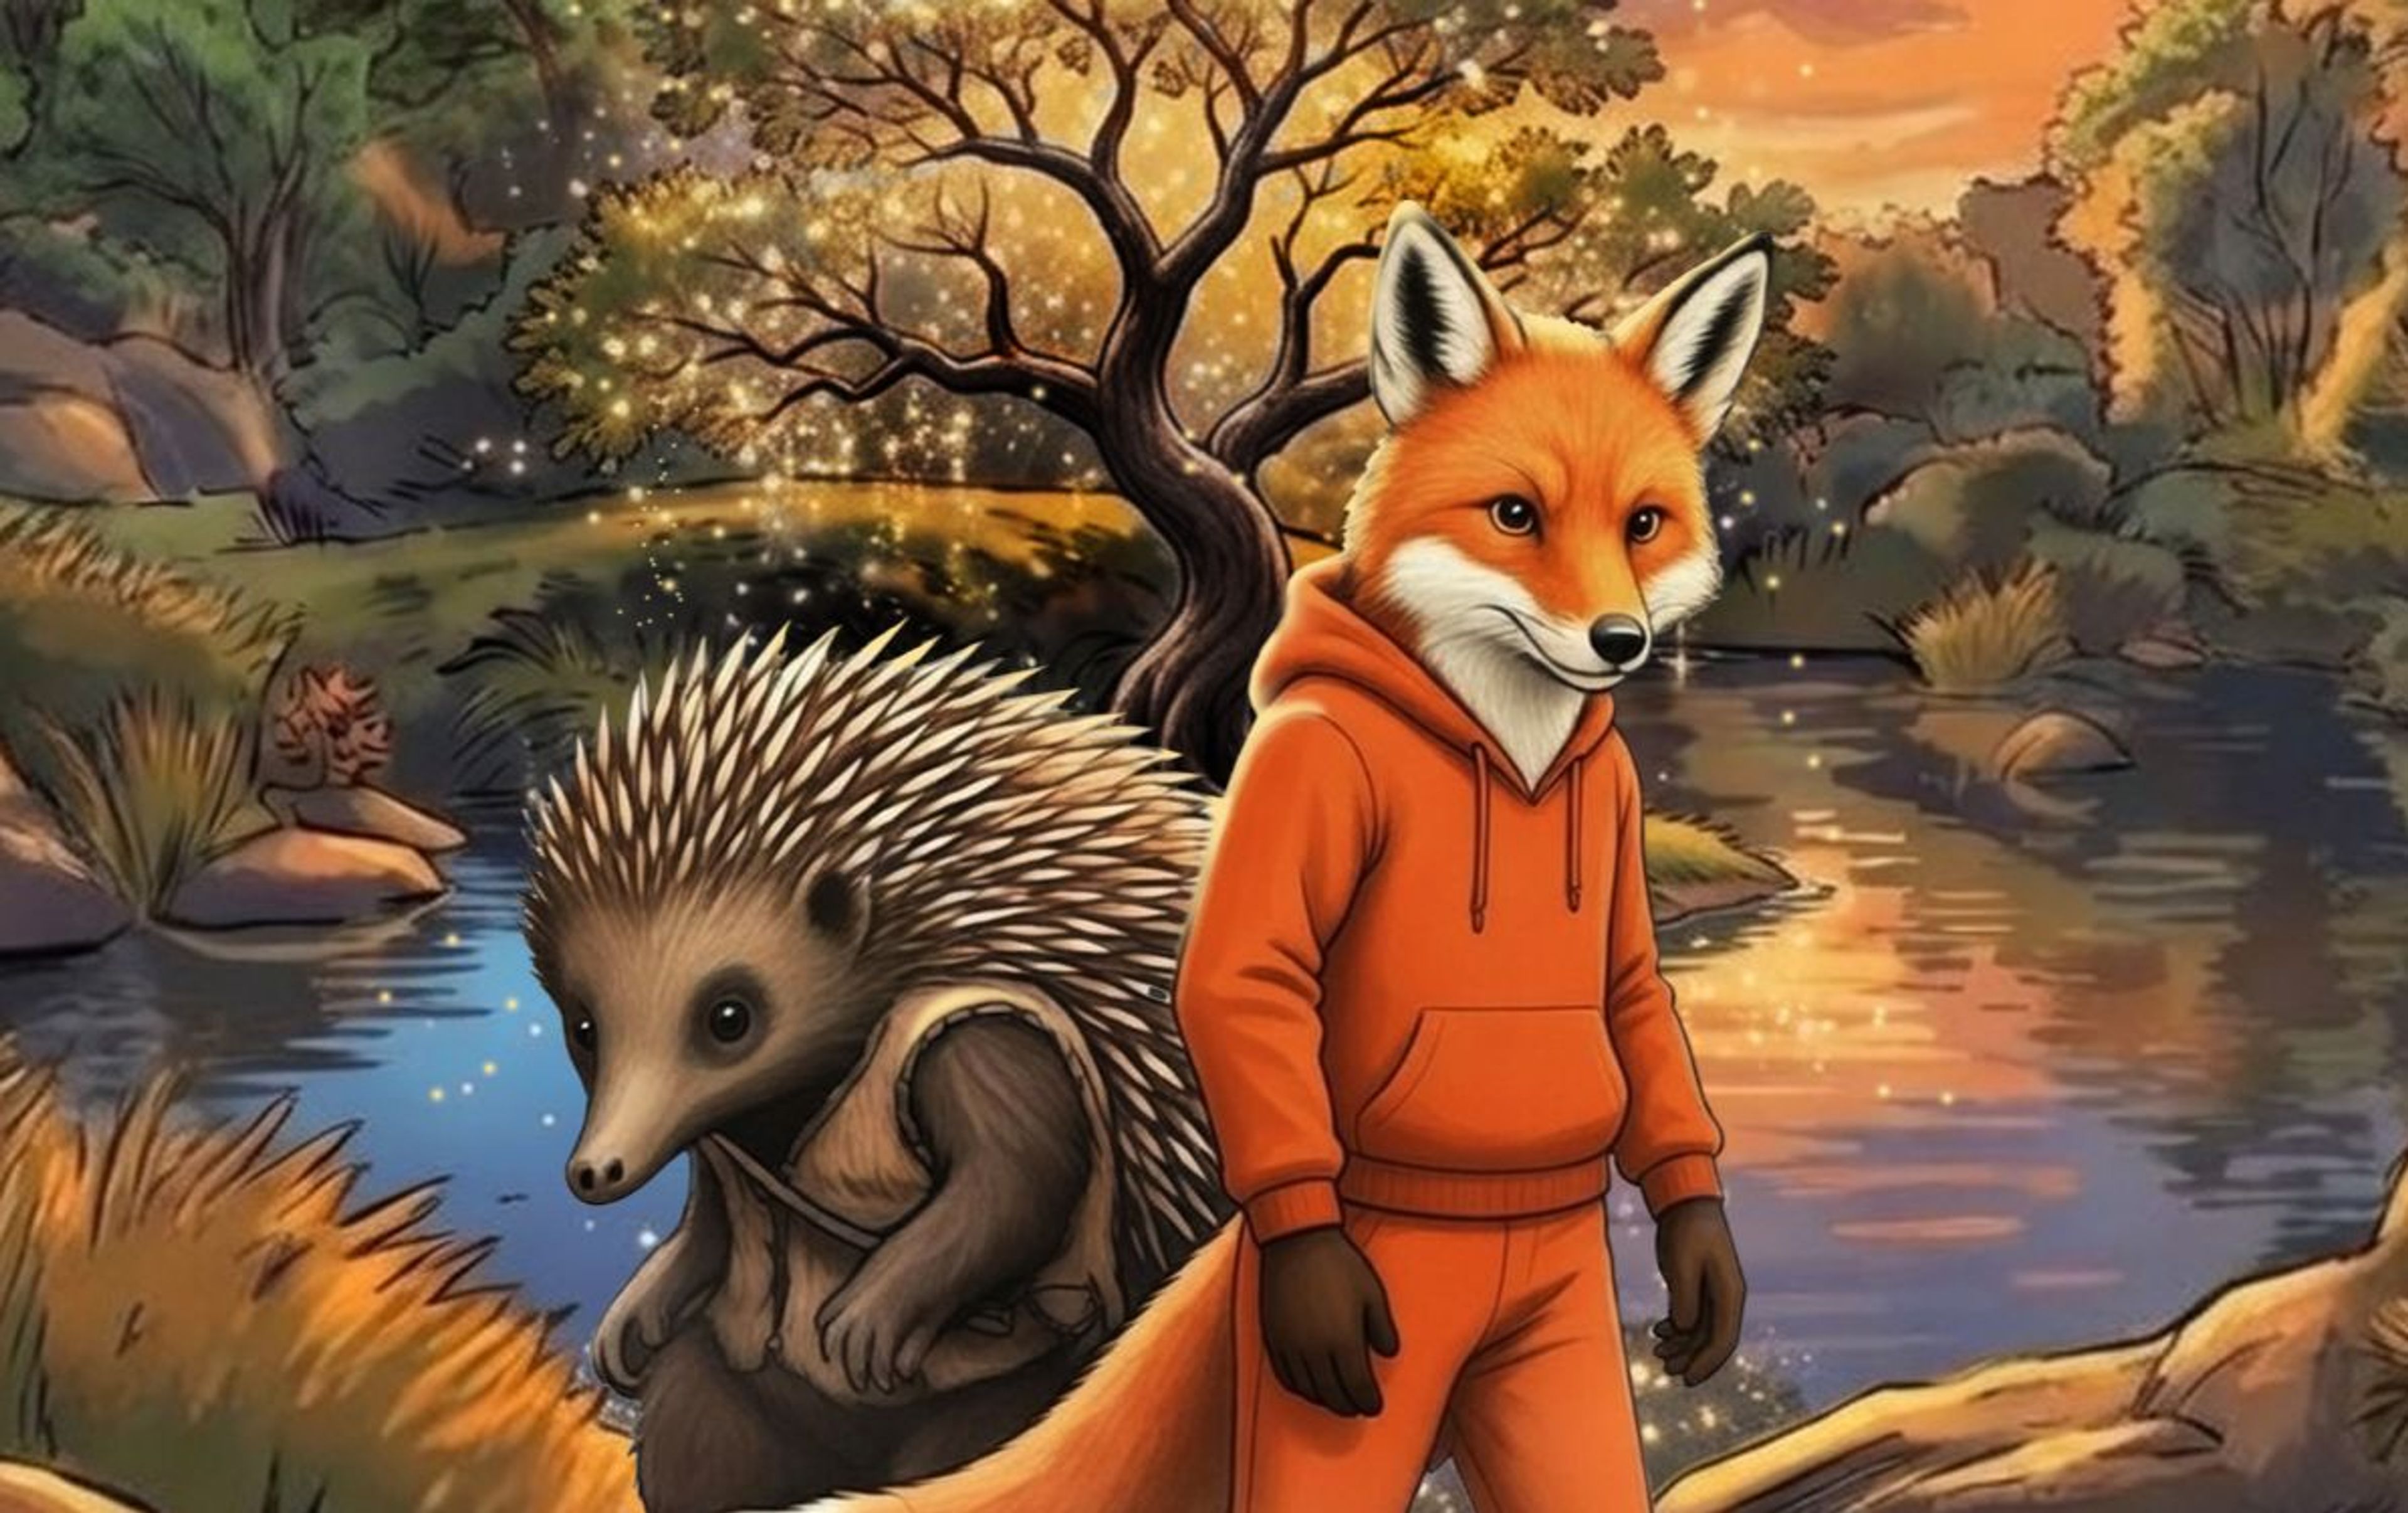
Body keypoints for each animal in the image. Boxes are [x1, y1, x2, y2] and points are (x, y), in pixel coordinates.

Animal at [786, 203, 1771, 1513]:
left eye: (1643, 524)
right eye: (1515, 515)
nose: (1620, 641)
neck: (1510, 756)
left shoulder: (1608, 838)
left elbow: (1638, 1006)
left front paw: (1702, 1254)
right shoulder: (1299, 777)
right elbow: (1244, 972)